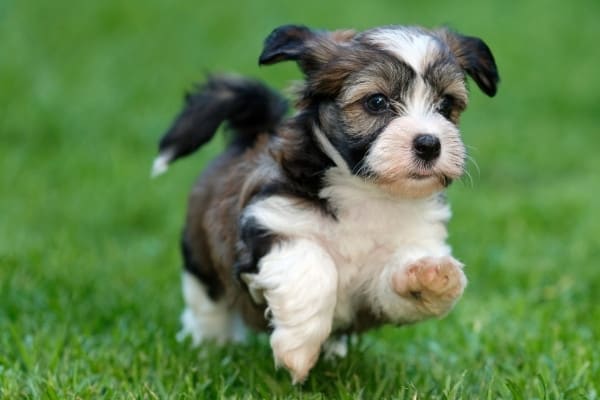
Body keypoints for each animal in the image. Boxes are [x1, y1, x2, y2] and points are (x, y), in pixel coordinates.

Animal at [152, 24, 500, 382]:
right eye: (376, 102)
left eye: (445, 104)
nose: (429, 144)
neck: (367, 191)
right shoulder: (271, 220)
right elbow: (314, 266)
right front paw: (298, 349)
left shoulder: (378, 286)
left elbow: (394, 287)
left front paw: (430, 275)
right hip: (201, 260)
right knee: (207, 302)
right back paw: (210, 345)